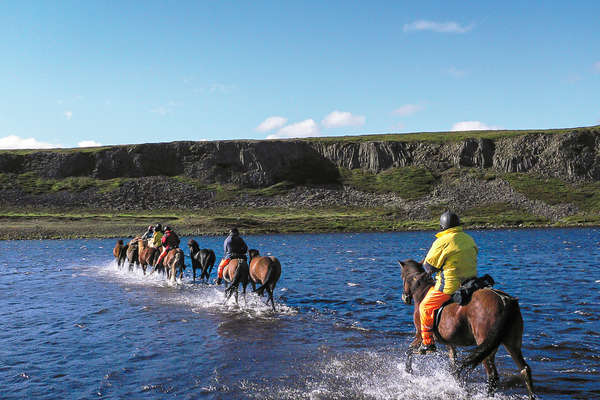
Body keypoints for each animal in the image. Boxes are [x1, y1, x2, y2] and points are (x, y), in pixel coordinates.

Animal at [398, 258, 536, 398]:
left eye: (402, 276)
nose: (405, 297)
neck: (422, 291)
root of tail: (504, 301)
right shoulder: (450, 343)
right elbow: (453, 362)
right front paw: (458, 384)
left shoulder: (419, 335)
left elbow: (409, 351)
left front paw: (409, 370)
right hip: (511, 343)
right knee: (524, 369)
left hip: (485, 344)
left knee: (493, 376)